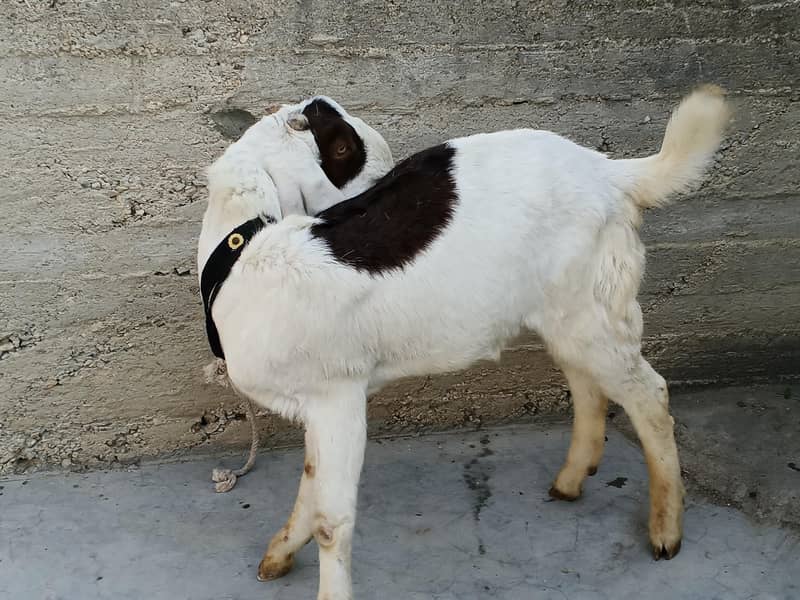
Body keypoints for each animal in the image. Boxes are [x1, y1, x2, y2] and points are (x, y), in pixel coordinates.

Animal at [197, 88, 730, 599]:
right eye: (343, 147)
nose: (382, 186)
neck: (244, 251)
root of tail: (613, 174)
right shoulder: (320, 405)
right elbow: (311, 486)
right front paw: (278, 555)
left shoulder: (337, 397)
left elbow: (332, 520)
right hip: (570, 313)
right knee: (587, 385)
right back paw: (572, 480)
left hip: (595, 309)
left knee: (648, 395)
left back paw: (665, 529)